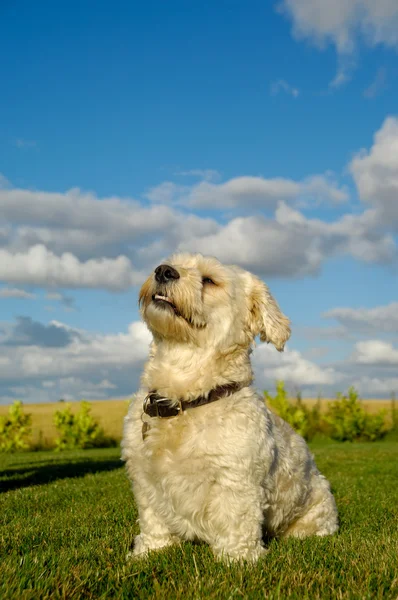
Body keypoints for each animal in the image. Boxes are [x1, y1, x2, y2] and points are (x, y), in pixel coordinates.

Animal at [120, 252, 336, 564]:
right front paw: (150, 551)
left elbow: (236, 520)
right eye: (172, 261)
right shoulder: (145, 478)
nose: (163, 271)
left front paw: (238, 559)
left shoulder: (235, 477)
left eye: (210, 280)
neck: (185, 398)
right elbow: (153, 520)